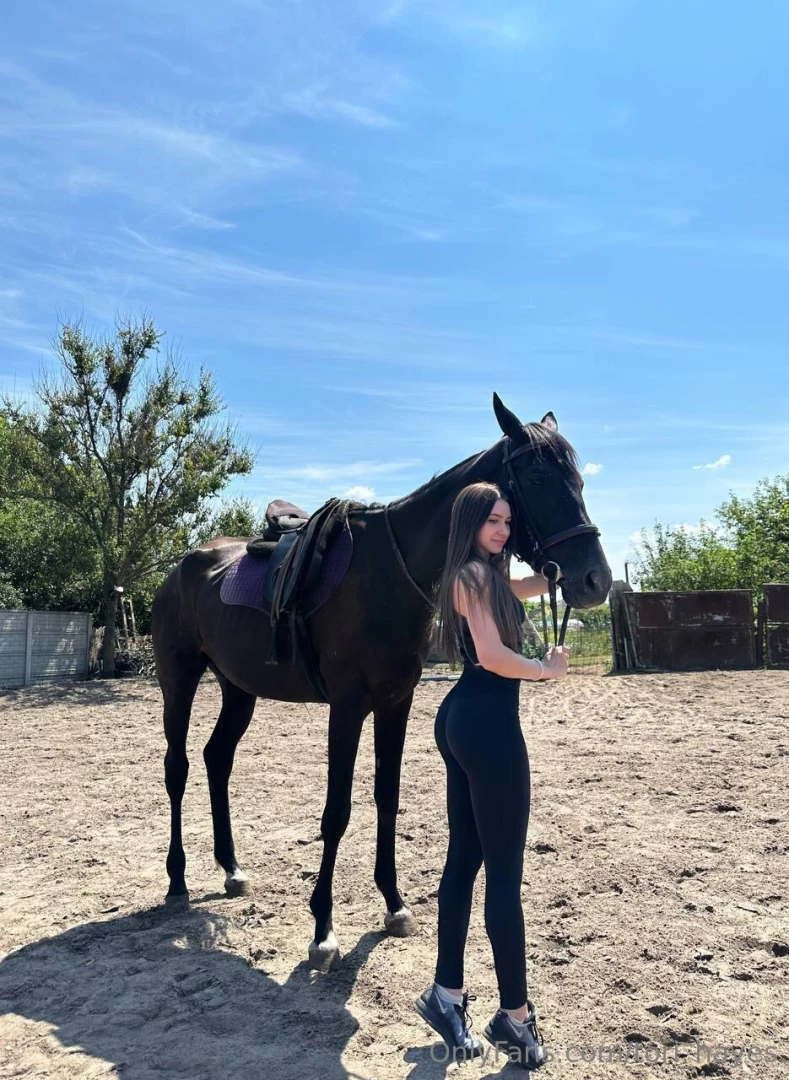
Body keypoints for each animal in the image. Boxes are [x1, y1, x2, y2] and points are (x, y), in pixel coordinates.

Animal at [151, 393, 612, 971]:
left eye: (578, 478)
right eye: (534, 477)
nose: (596, 580)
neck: (390, 573)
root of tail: (179, 571)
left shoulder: (396, 702)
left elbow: (387, 797)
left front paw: (393, 903)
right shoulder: (347, 706)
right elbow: (337, 812)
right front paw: (323, 931)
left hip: (238, 689)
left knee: (217, 759)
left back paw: (231, 869)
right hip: (179, 680)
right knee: (178, 768)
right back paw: (177, 881)